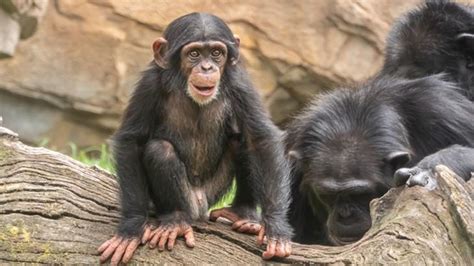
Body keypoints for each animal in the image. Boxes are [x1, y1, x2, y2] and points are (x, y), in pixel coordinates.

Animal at [98, 12, 292, 264]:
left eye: (217, 53)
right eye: (194, 54)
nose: (207, 67)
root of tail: (199, 205)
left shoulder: (241, 84)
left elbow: (260, 139)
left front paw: (276, 229)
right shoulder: (149, 85)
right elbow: (132, 141)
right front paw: (131, 228)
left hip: (213, 192)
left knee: (241, 140)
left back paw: (243, 214)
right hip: (188, 199)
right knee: (160, 150)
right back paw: (175, 221)